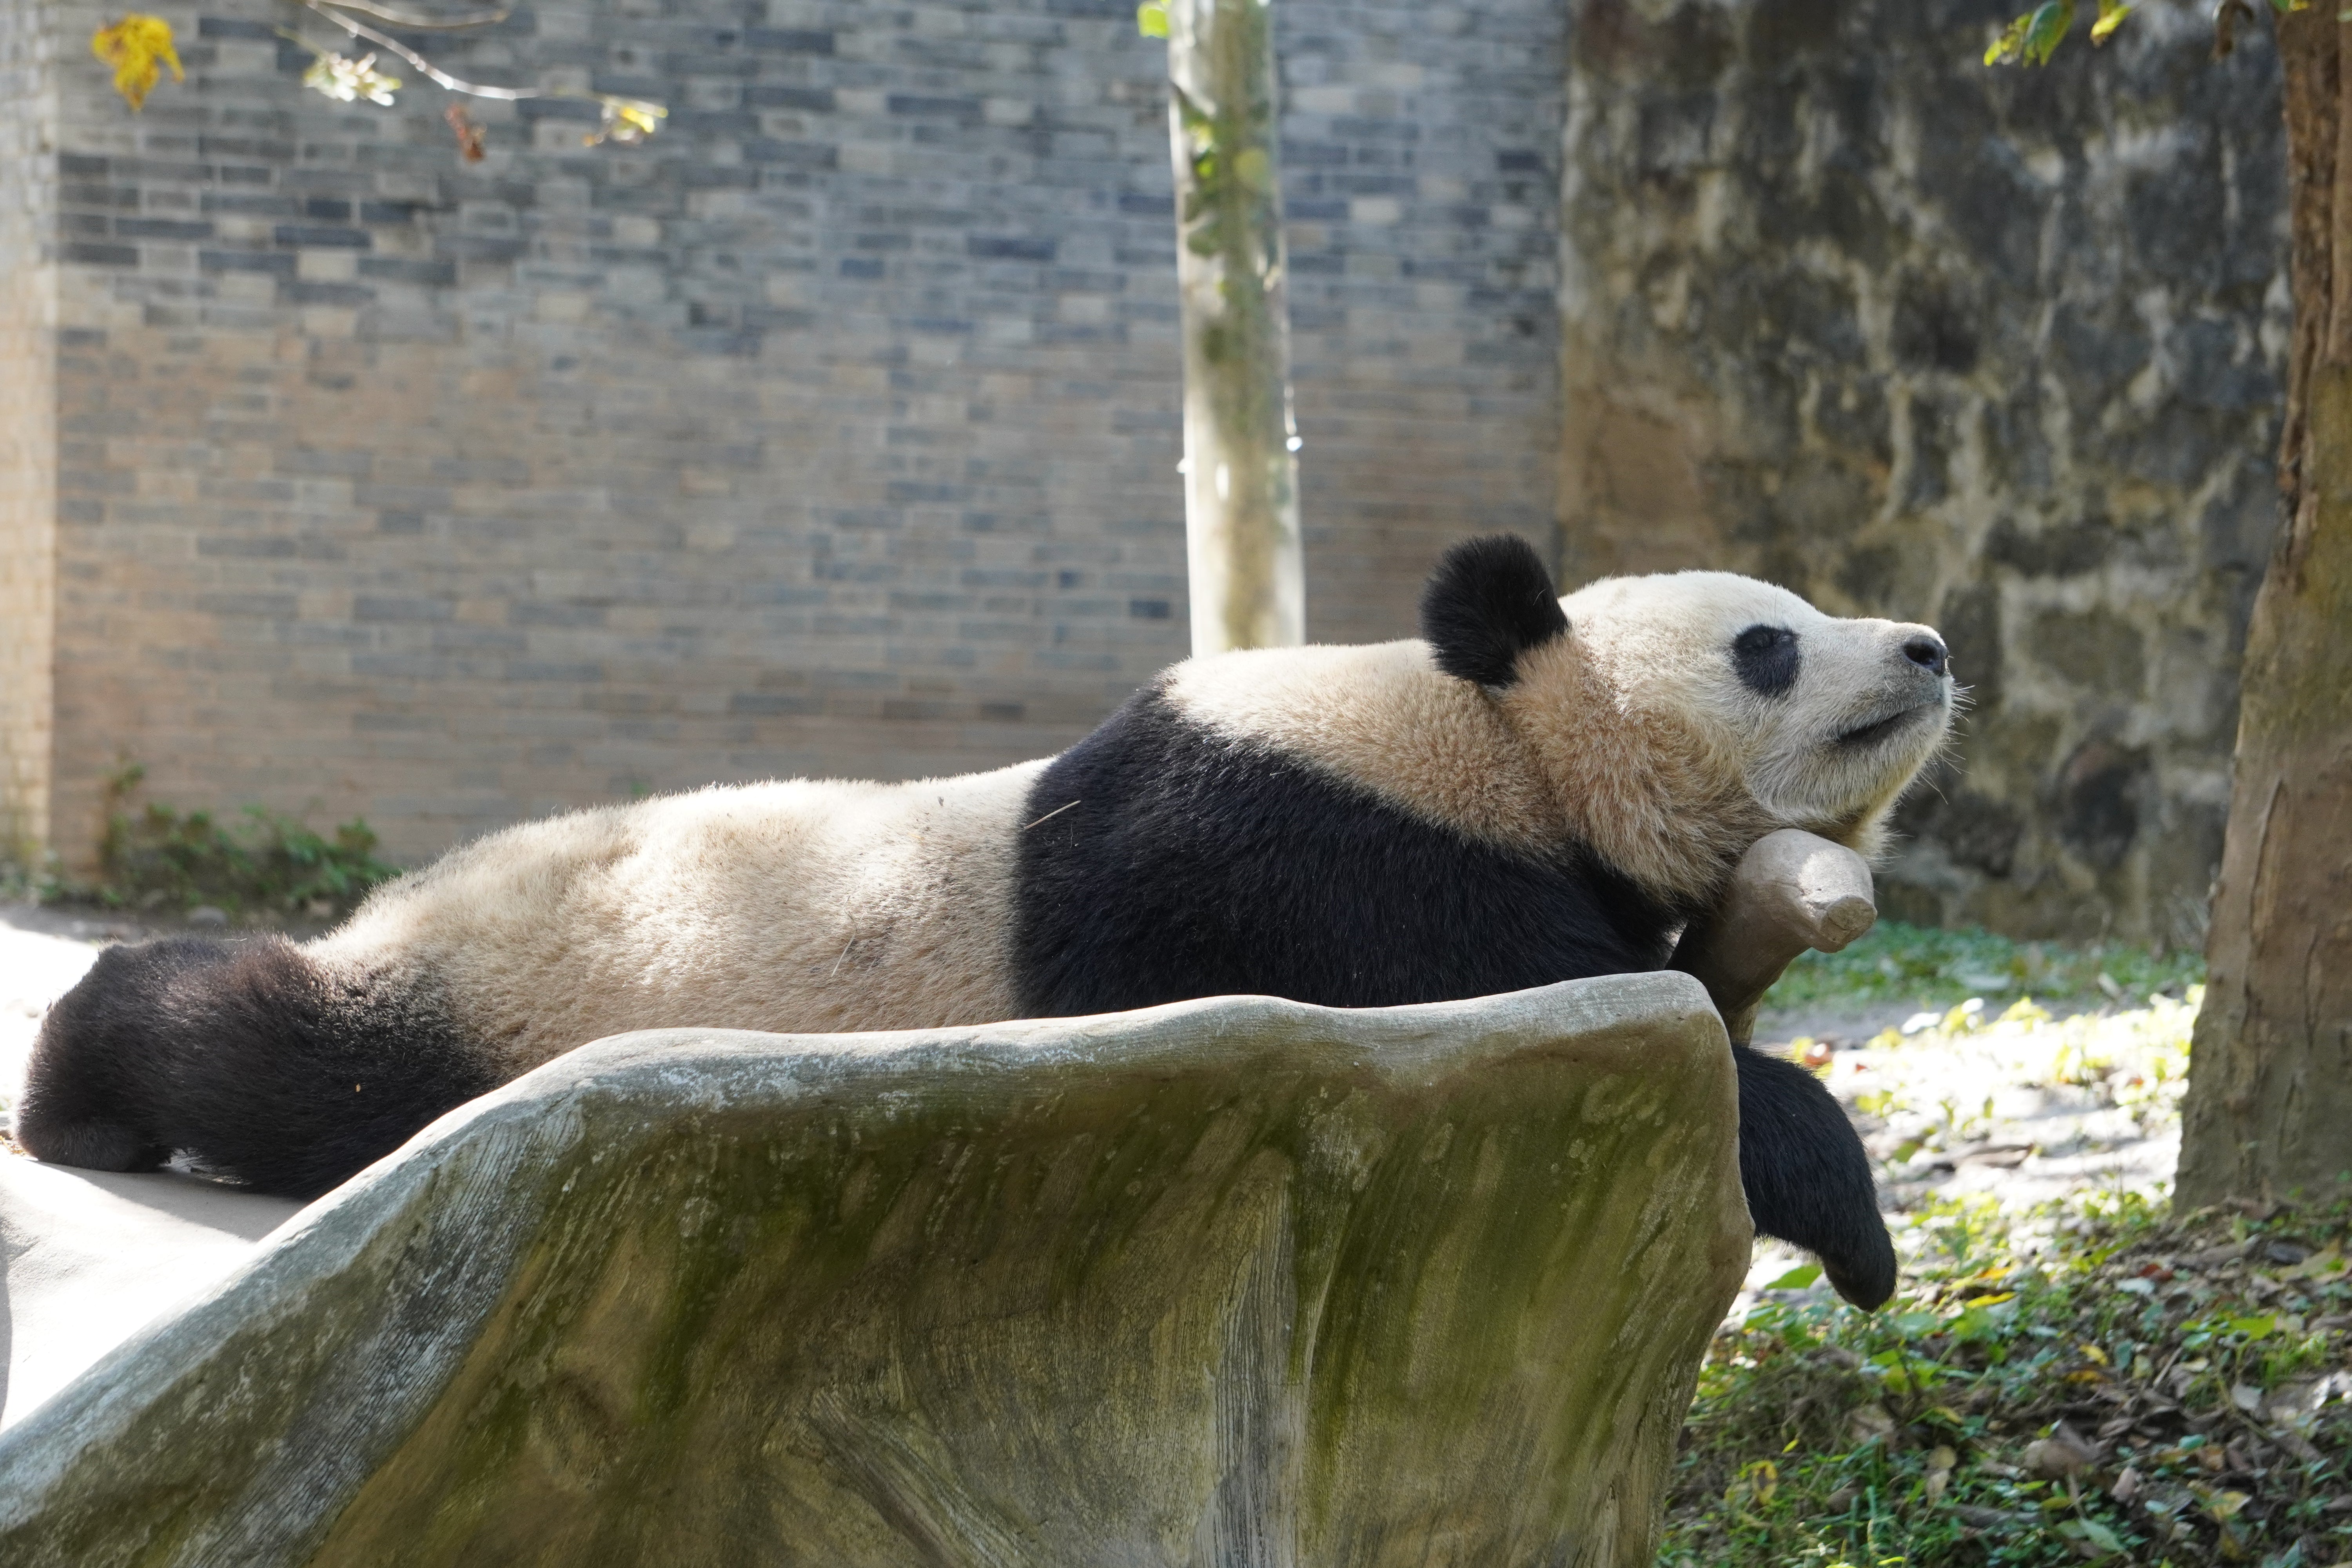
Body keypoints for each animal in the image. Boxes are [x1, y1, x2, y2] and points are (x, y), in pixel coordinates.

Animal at [23, 541, 1947, 1316]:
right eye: (1767, 641)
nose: (1927, 645)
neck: (1487, 730)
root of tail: (408, 899)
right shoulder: (1302, 854)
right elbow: (1549, 1008)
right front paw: (1848, 1220)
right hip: (497, 977)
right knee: (284, 1050)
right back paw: (79, 1086)